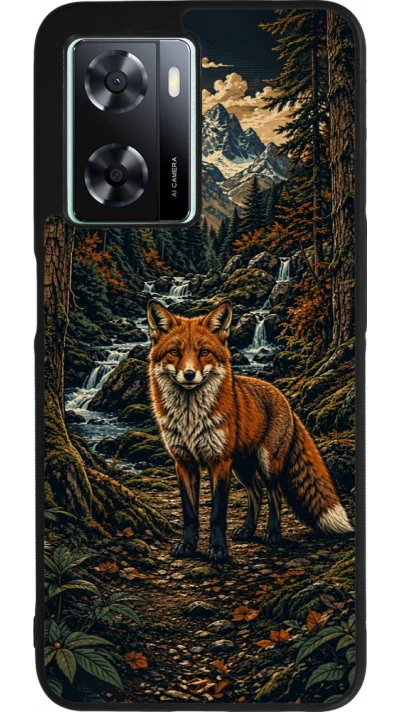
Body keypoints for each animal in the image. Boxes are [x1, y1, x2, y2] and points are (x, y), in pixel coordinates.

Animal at [147, 298, 353, 564]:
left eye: (204, 352)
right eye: (175, 352)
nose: (189, 374)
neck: (190, 419)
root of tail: (282, 397)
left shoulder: (219, 461)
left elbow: (217, 514)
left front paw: (218, 550)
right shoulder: (183, 462)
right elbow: (190, 513)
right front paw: (187, 546)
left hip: (267, 463)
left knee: (274, 495)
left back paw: (272, 534)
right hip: (241, 468)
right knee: (256, 493)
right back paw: (248, 530)